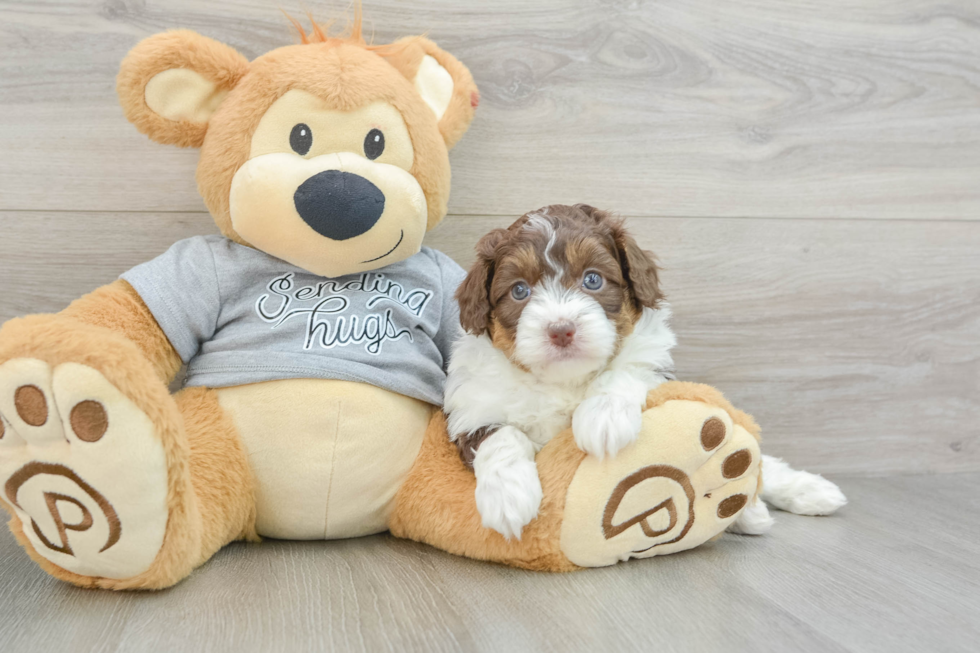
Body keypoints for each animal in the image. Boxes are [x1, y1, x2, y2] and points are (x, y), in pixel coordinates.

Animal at [448, 205, 848, 540]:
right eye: (519, 290)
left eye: (592, 280)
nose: (561, 330)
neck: (565, 381)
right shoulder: (471, 406)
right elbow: (502, 436)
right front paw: (508, 496)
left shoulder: (655, 366)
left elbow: (626, 369)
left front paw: (603, 419)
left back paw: (796, 495)